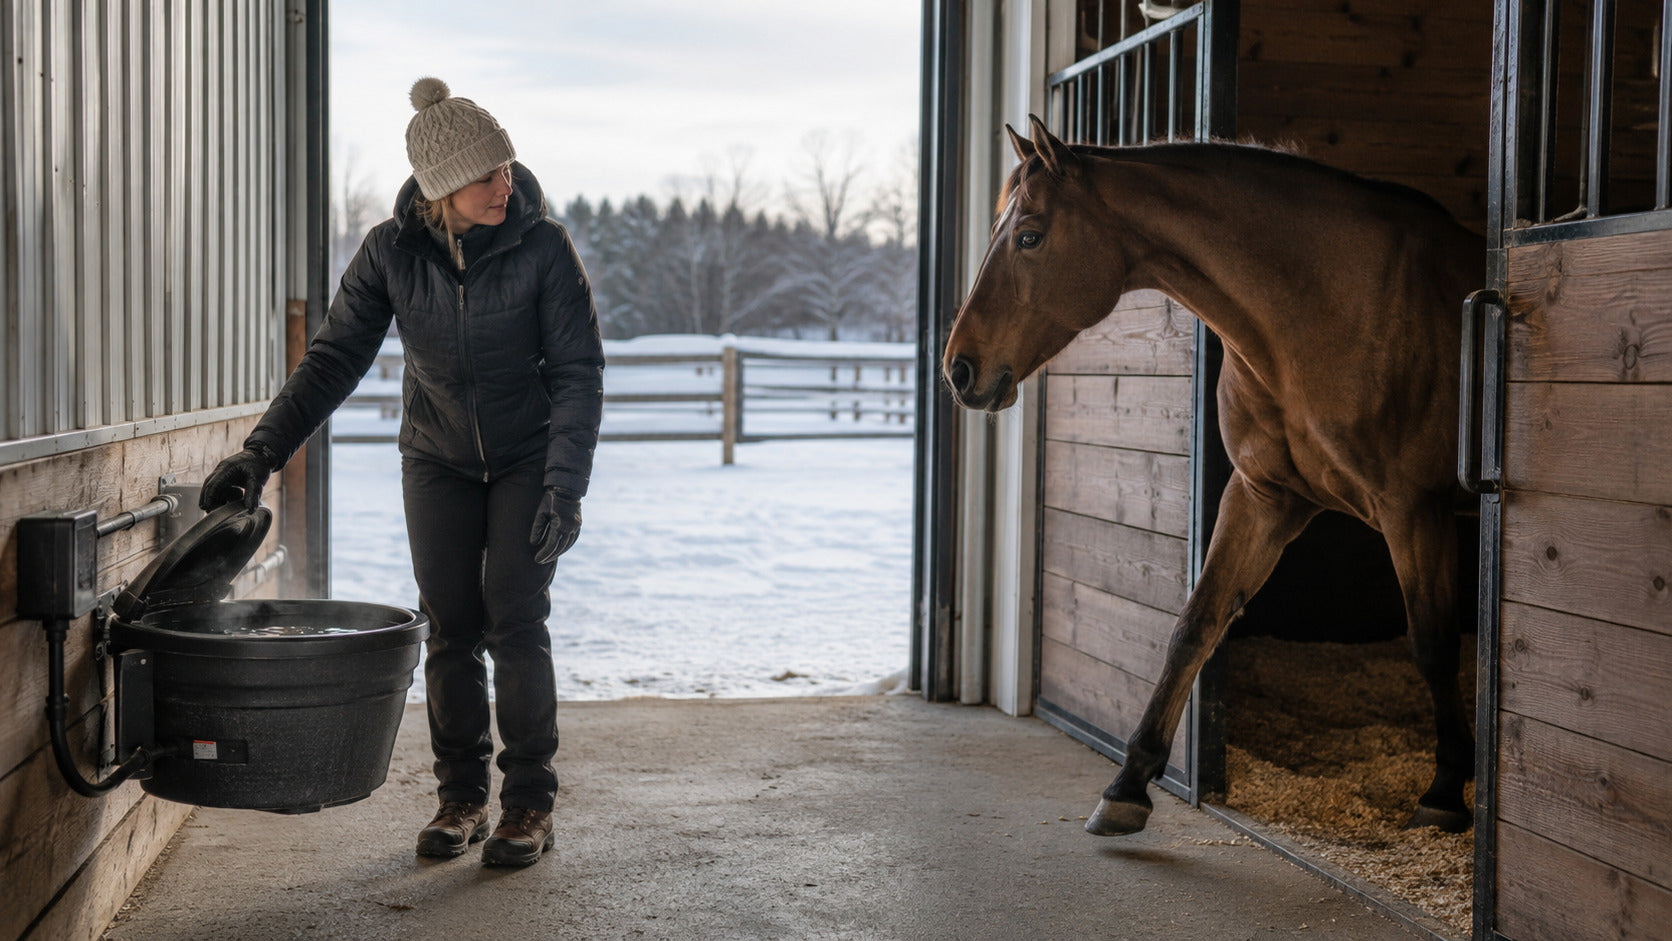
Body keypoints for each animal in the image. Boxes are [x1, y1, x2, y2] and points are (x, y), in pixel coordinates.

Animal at [944, 116, 1484, 837]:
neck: (1327, 307)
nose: (959, 370)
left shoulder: (1413, 510)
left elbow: (1434, 644)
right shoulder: (1262, 498)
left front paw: (1445, 790)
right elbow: (1193, 625)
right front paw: (1128, 783)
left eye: (1029, 235)